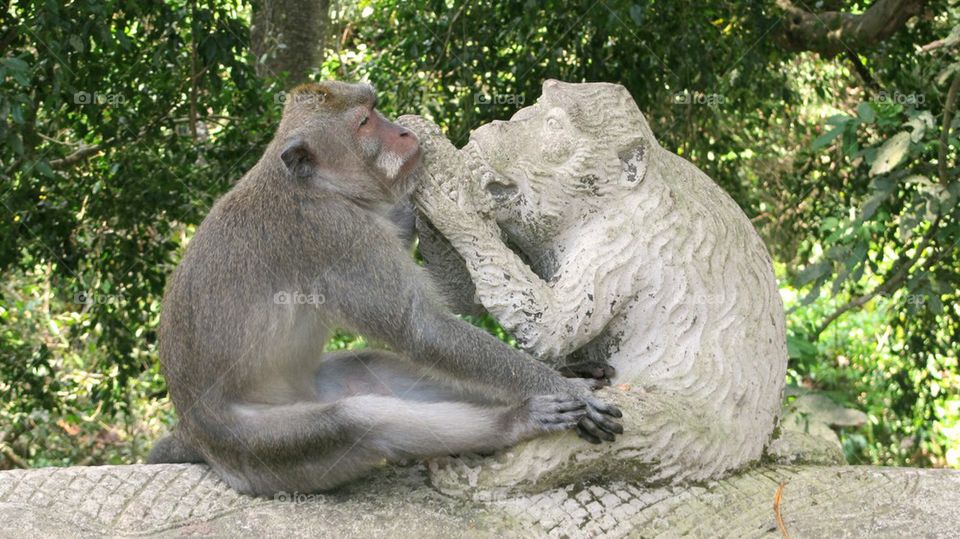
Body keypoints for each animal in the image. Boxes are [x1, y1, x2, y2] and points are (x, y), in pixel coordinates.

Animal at [147, 81, 623, 497]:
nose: (404, 132)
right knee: (356, 422)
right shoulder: (336, 234)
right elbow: (421, 327)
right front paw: (567, 389)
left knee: (372, 370)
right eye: (363, 123)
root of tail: (193, 431)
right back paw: (514, 421)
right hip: (258, 450)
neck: (317, 186)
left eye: (375, 109)